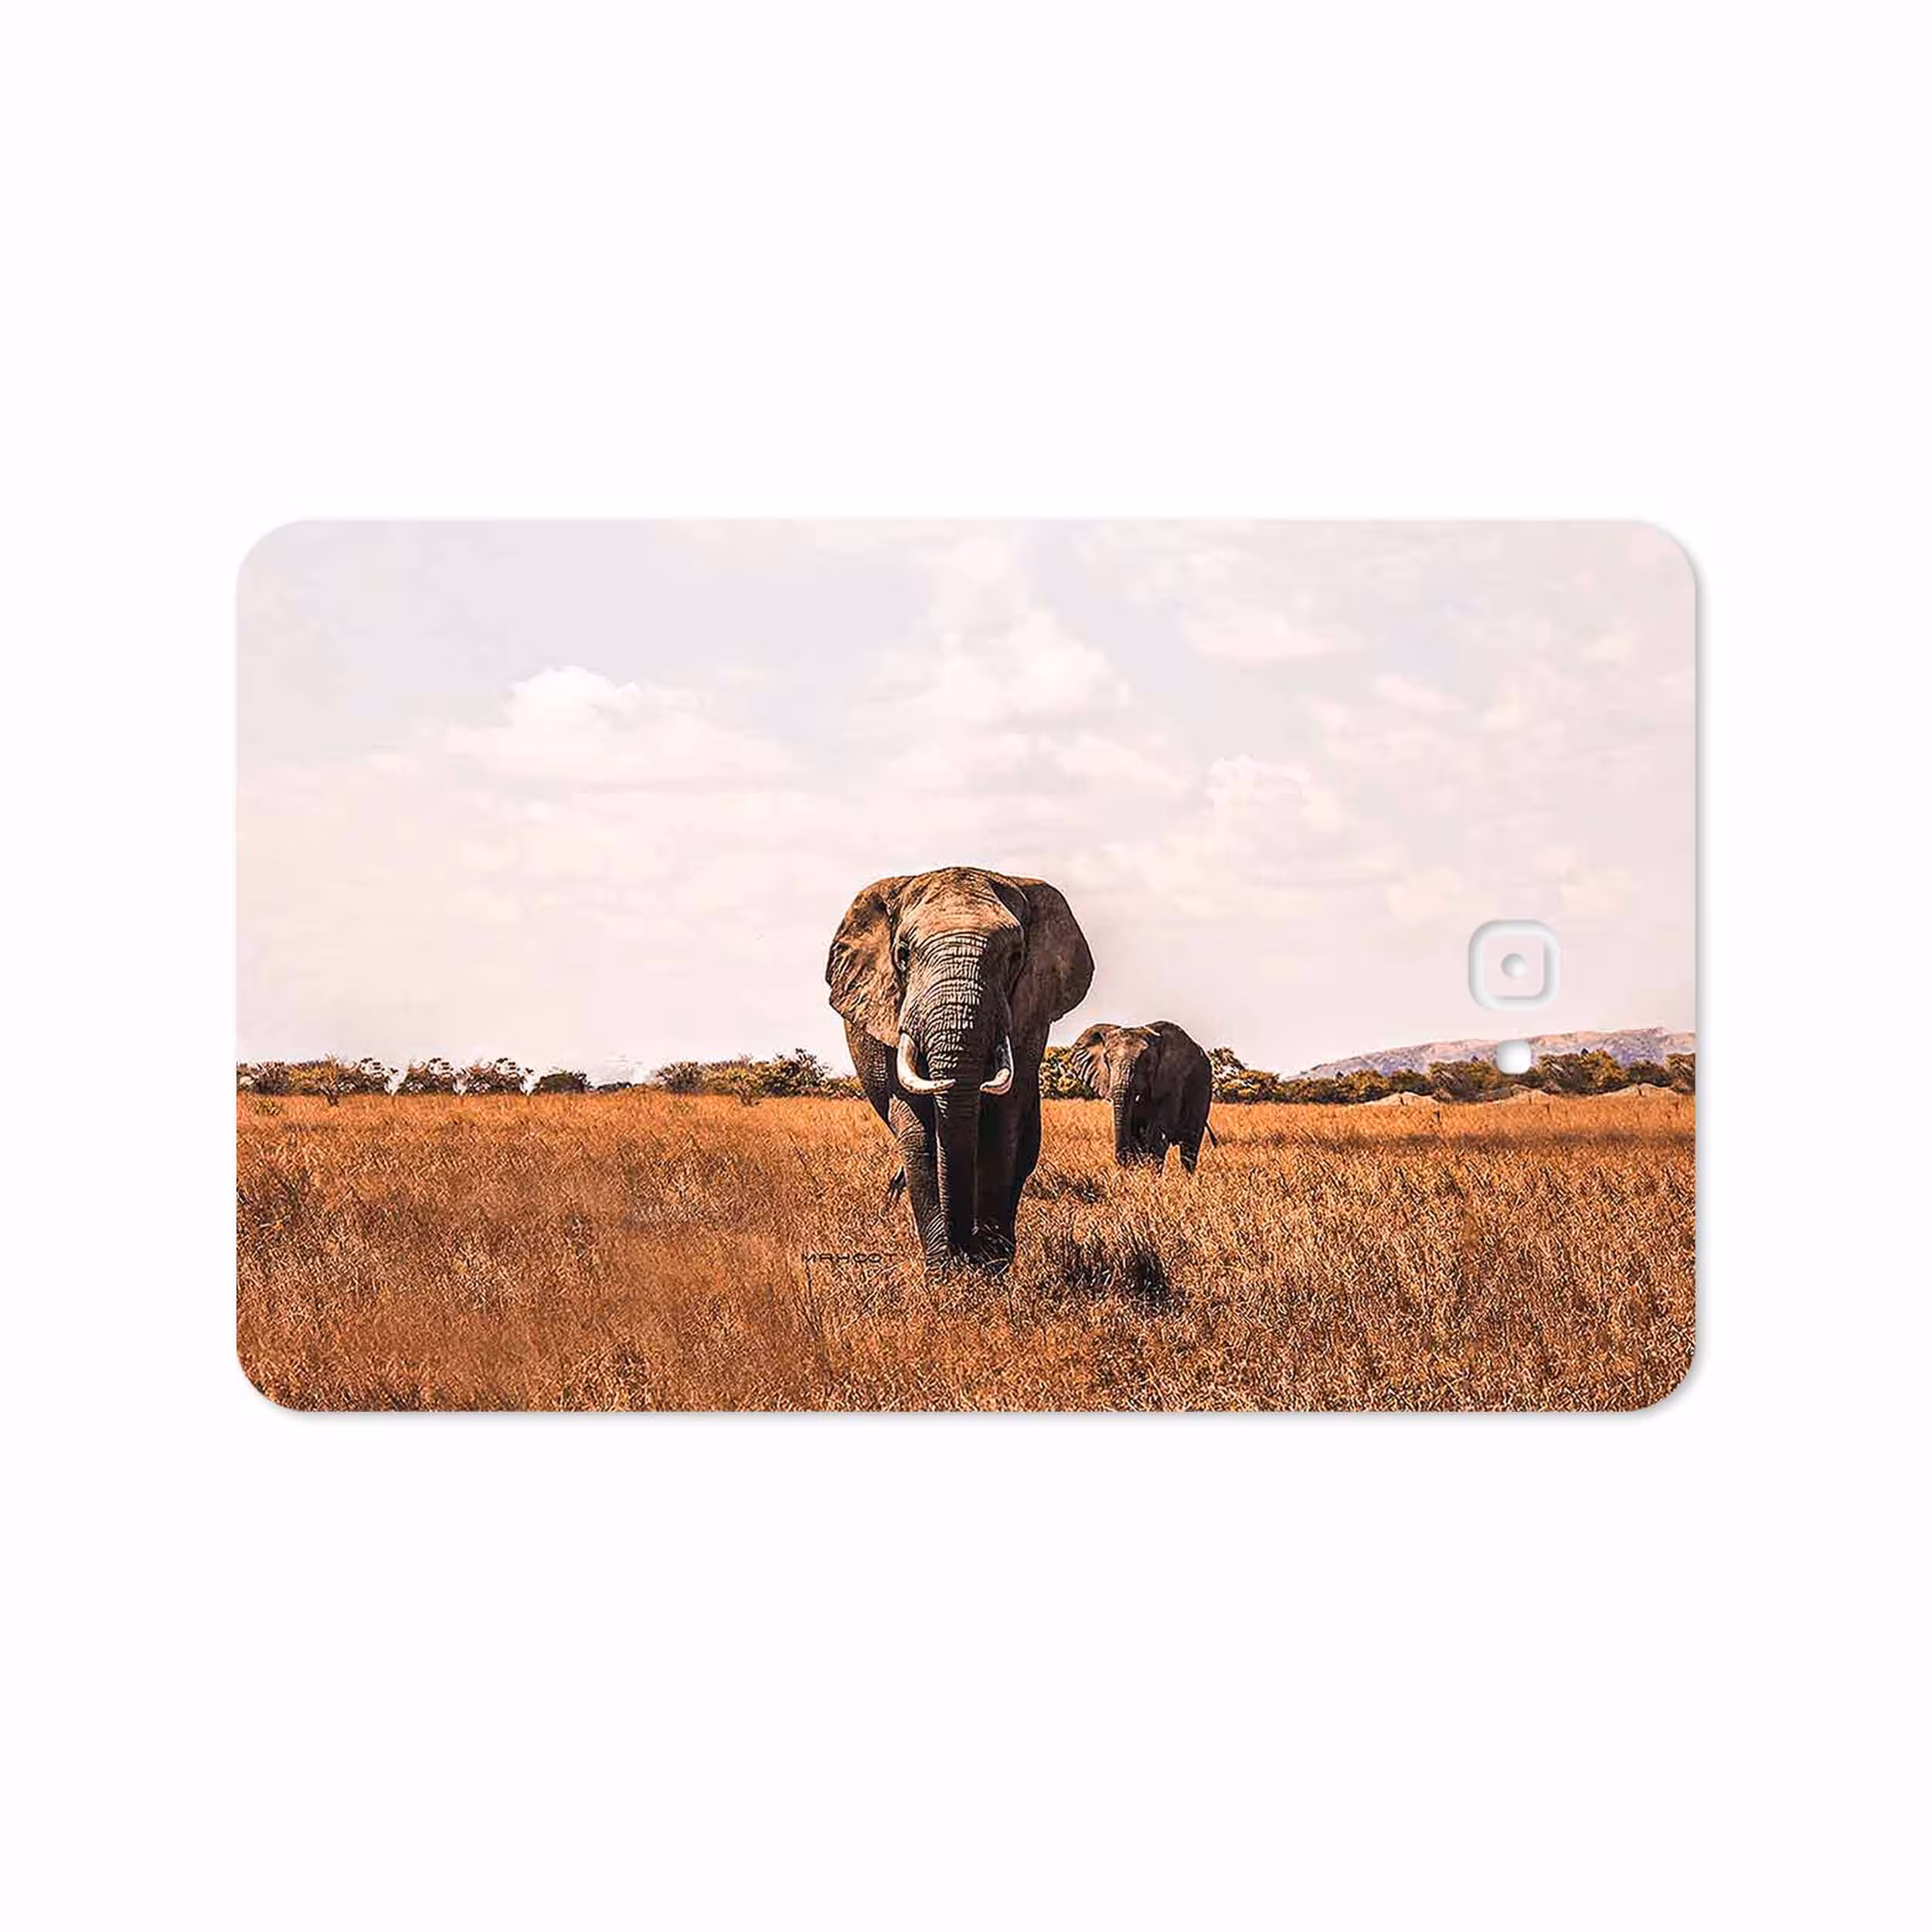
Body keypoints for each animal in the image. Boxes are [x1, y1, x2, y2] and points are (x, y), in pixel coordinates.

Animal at [827, 866, 1094, 1270]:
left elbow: (1002, 1125)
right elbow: (918, 1133)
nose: (964, 1249)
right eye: (903, 955)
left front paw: (989, 1269)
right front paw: (945, 1273)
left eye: (1016, 956)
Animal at [1071, 1020, 1216, 1172]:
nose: (1122, 1163)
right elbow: (1136, 1133)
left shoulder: (1172, 1079)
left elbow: (1157, 1134)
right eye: (1106, 1060)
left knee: (1189, 1145)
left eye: (1146, 1061)